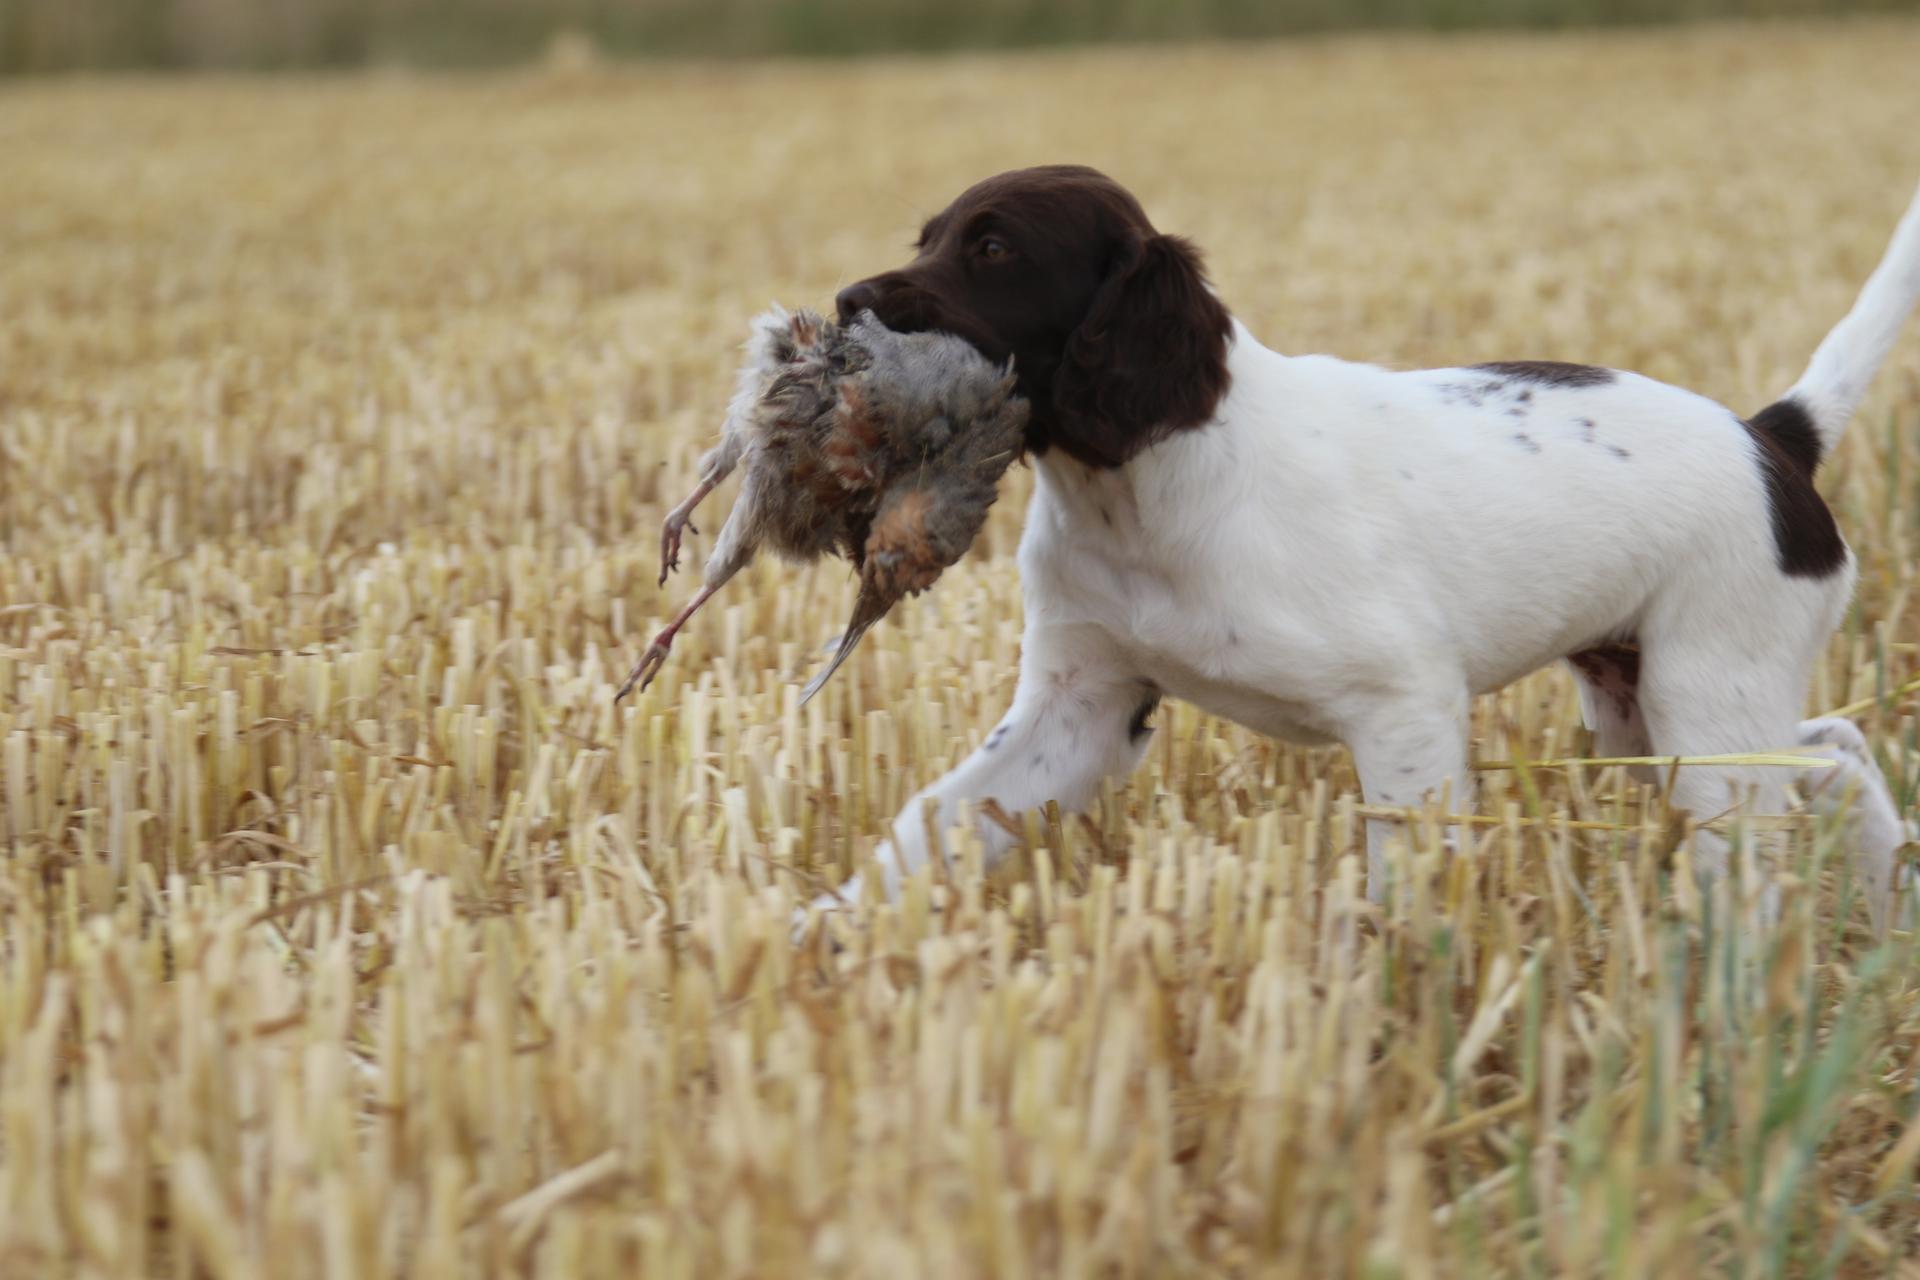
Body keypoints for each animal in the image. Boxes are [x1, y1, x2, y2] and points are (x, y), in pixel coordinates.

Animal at [794, 167, 1920, 932]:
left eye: (994, 249)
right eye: (931, 237)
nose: (845, 302)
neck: (1148, 489)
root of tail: (1772, 437)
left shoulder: (1406, 704)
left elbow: (1409, 888)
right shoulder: (1077, 711)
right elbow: (929, 821)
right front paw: (814, 933)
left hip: (1703, 703)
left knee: (1780, 813)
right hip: (1645, 710)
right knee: (1835, 749)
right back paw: (1885, 906)